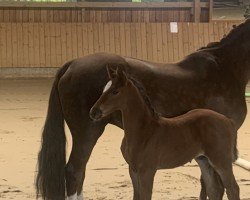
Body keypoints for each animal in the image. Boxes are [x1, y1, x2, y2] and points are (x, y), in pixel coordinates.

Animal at [90, 67, 240, 200]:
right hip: (204, 160)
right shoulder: (132, 170)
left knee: (233, 189)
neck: (143, 130)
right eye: (103, 90)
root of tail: (228, 121)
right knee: (214, 189)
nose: (93, 112)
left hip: (221, 161)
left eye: (115, 91)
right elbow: (136, 197)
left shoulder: (147, 171)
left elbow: (146, 196)